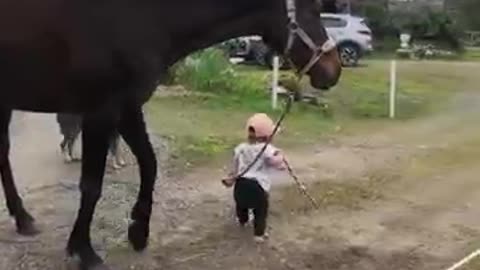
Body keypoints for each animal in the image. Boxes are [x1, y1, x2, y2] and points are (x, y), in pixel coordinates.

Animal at [0, 0, 342, 268]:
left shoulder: (128, 107)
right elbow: (91, 185)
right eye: (314, 8)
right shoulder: (100, 112)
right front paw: (83, 250)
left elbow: (149, 165)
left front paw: (138, 231)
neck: (141, 16)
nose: (333, 70)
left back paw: (23, 219)